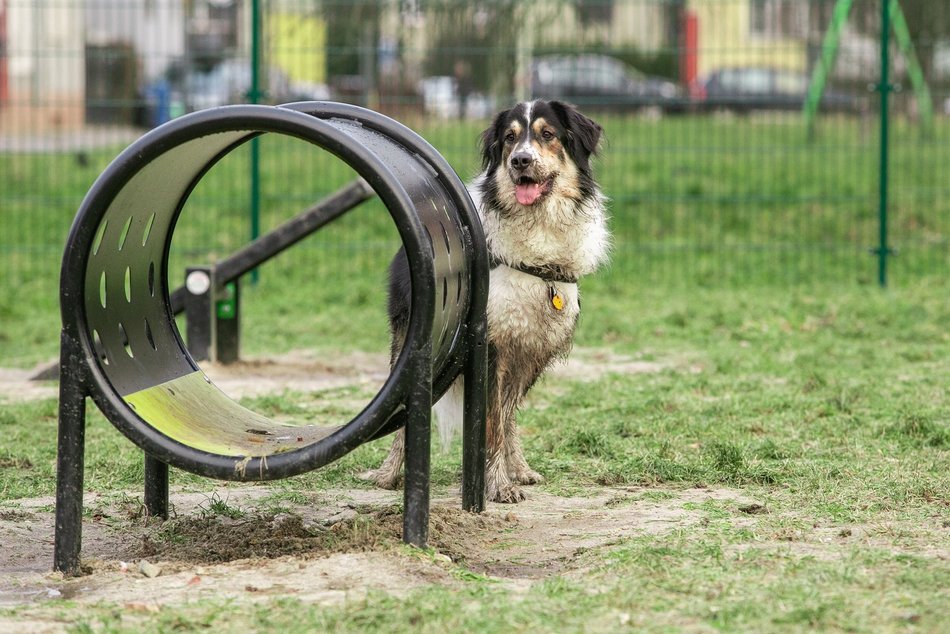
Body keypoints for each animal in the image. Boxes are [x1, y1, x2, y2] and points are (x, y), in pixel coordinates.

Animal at [364, 101, 608, 502]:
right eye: (509, 138)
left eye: (548, 134)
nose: (520, 161)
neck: (537, 227)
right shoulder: (490, 346)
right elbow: (490, 421)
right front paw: (497, 486)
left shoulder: (528, 348)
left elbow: (504, 418)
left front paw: (513, 473)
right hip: (409, 343)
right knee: (401, 416)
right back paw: (388, 473)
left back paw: (520, 468)